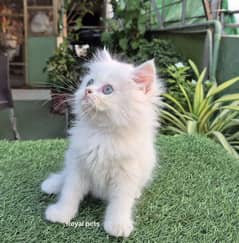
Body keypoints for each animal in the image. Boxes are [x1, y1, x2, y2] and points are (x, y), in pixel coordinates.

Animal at [41, 49, 163, 237]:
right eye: (90, 82)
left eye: (108, 90)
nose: (87, 90)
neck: (101, 134)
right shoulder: (78, 165)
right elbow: (69, 192)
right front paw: (61, 213)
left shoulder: (126, 175)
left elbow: (120, 202)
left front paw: (118, 225)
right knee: (64, 175)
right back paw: (53, 184)